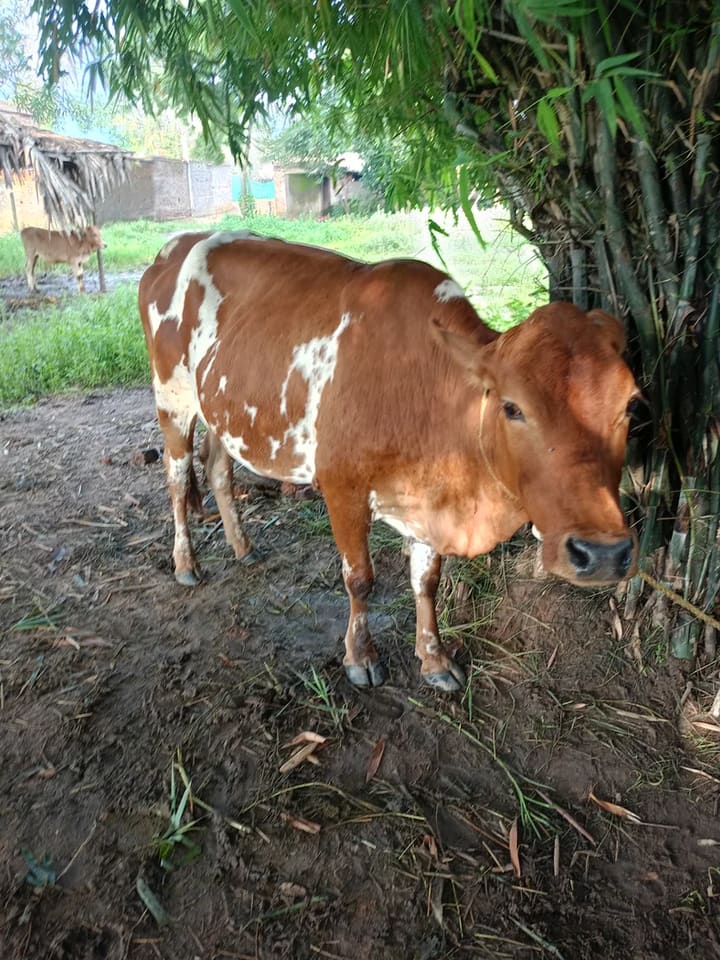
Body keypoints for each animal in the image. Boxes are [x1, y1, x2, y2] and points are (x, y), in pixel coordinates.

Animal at [138, 231, 640, 692]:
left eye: (632, 404)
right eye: (512, 406)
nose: (602, 554)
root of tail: (173, 247)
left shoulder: (429, 505)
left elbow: (426, 580)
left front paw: (434, 659)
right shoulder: (342, 488)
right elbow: (359, 579)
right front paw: (360, 657)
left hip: (222, 409)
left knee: (217, 466)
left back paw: (243, 546)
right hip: (172, 398)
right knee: (177, 478)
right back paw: (185, 563)